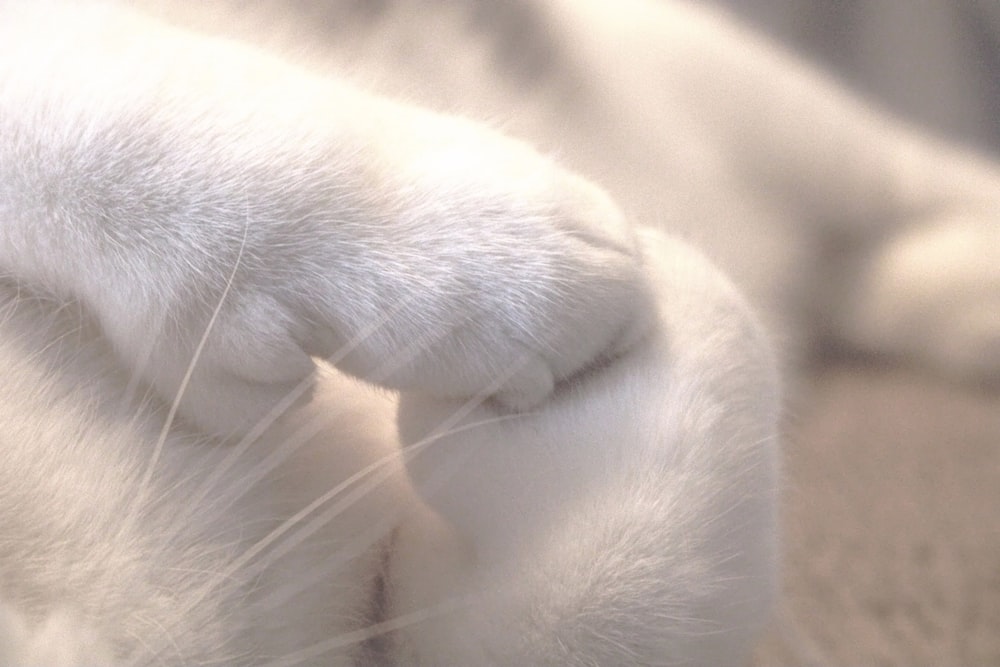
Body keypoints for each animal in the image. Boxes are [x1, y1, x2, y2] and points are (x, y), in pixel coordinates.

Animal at [0, 1, 996, 667]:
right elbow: (595, 607)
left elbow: (58, 69)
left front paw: (466, 256)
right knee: (854, 278)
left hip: (777, 114)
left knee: (919, 177)